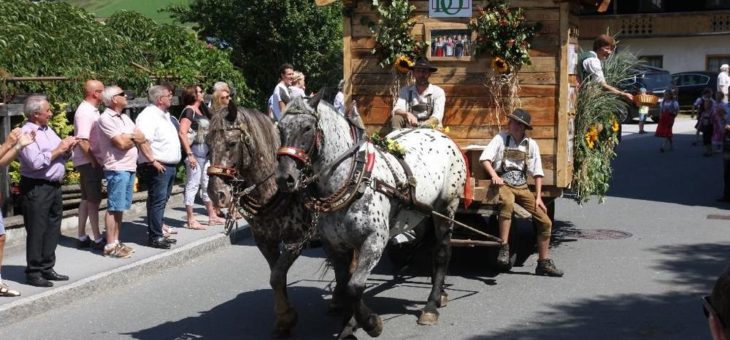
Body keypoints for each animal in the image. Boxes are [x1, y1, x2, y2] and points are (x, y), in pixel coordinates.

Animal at [205, 104, 310, 338]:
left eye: (232, 143)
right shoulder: (265, 240)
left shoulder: (297, 240)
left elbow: (277, 276)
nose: (217, 194)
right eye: (206, 143)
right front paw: (284, 317)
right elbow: (276, 276)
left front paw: (286, 317)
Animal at [272, 95, 466, 338]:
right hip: (422, 213)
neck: (354, 178)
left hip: (447, 207)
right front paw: (348, 325)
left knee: (442, 252)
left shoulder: (374, 241)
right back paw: (438, 292)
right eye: (280, 128)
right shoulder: (335, 246)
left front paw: (371, 322)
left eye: (307, 128)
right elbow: (344, 283)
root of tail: (444, 137)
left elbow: (354, 287)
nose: (284, 178)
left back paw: (431, 304)